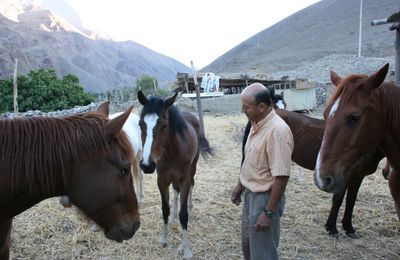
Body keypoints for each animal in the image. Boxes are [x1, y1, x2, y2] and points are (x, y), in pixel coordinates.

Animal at [137, 90, 212, 258]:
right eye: (140, 124)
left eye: (164, 125)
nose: (147, 165)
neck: (171, 152)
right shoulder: (162, 180)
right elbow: (165, 209)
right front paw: (164, 239)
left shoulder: (184, 179)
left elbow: (183, 214)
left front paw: (187, 250)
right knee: (176, 192)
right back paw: (173, 219)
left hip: (193, 168)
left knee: (191, 186)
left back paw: (190, 207)